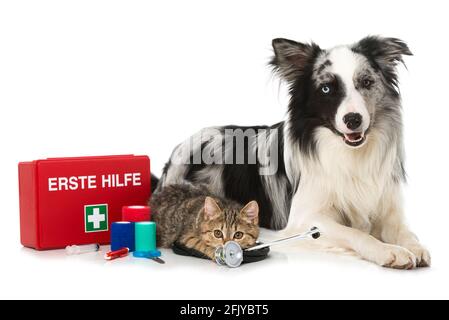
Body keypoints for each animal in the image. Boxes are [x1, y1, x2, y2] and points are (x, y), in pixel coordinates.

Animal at [154, 36, 430, 268]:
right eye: (326, 89)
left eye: (366, 82)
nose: (353, 119)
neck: (347, 153)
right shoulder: (305, 220)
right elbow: (355, 233)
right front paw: (388, 250)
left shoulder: (387, 207)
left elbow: (405, 230)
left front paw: (414, 247)